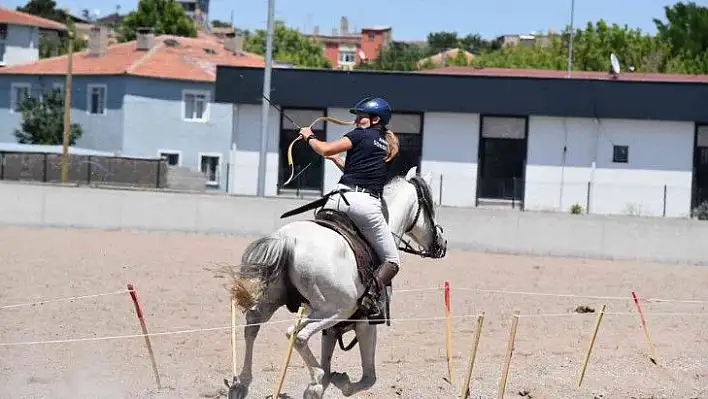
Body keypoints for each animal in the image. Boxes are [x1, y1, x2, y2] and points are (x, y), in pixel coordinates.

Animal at [227, 166, 448, 399]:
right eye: (431, 207)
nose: (441, 243)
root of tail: (288, 240)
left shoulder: (332, 330)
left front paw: (320, 385)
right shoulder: (365, 324)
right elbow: (369, 378)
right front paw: (340, 382)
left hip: (280, 300)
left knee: (253, 324)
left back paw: (241, 384)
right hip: (336, 309)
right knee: (297, 335)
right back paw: (314, 376)